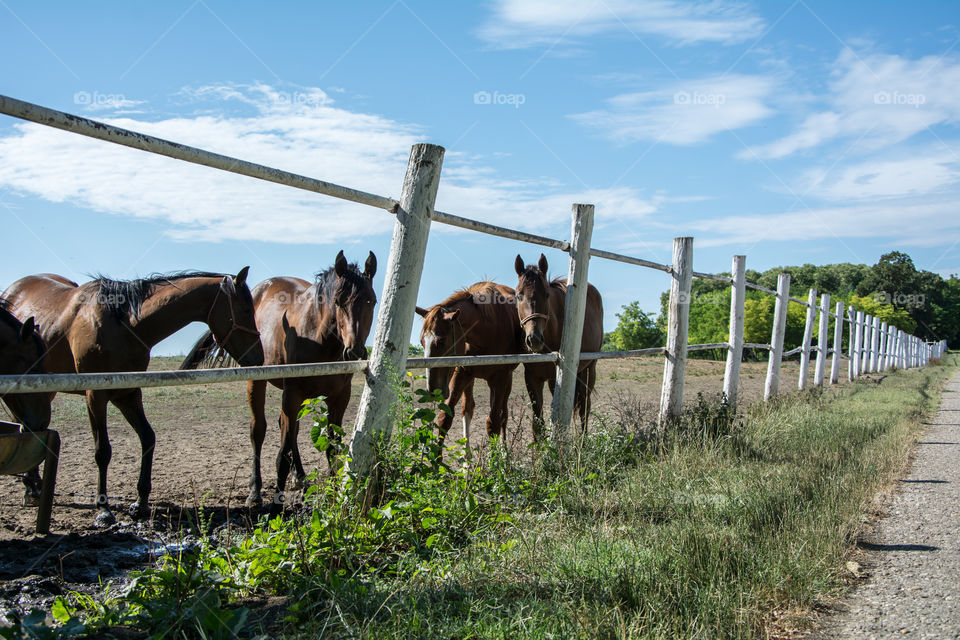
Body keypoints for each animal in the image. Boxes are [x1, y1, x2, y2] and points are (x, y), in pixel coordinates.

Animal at [0, 268, 262, 524]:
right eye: (247, 309)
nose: (258, 357)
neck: (124, 325)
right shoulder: (95, 396)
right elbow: (103, 452)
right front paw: (103, 509)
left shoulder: (128, 394)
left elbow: (148, 438)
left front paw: (141, 502)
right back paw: (32, 488)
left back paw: (33, 486)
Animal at [182, 250, 376, 504]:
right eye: (337, 302)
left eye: (371, 301)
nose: (355, 352)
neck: (320, 339)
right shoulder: (292, 394)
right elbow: (282, 453)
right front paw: (275, 500)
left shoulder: (339, 398)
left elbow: (331, 448)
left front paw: (334, 496)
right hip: (258, 382)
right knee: (259, 431)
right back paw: (255, 490)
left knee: (291, 430)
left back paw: (300, 476)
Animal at [414, 282, 520, 448]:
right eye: (422, 342)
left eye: (441, 342)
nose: (432, 391)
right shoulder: (461, 374)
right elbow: (445, 418)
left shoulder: (500, 380)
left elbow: (494, 423)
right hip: (470, 379)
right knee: (468, 409)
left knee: (504, 414)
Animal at [512, 255, 604, 436]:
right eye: (519, 295)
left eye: (547, 294)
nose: (534, 339)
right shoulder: (532, 378)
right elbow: (537, 423)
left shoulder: (556, 378)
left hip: (590, 368)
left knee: (585, 407)